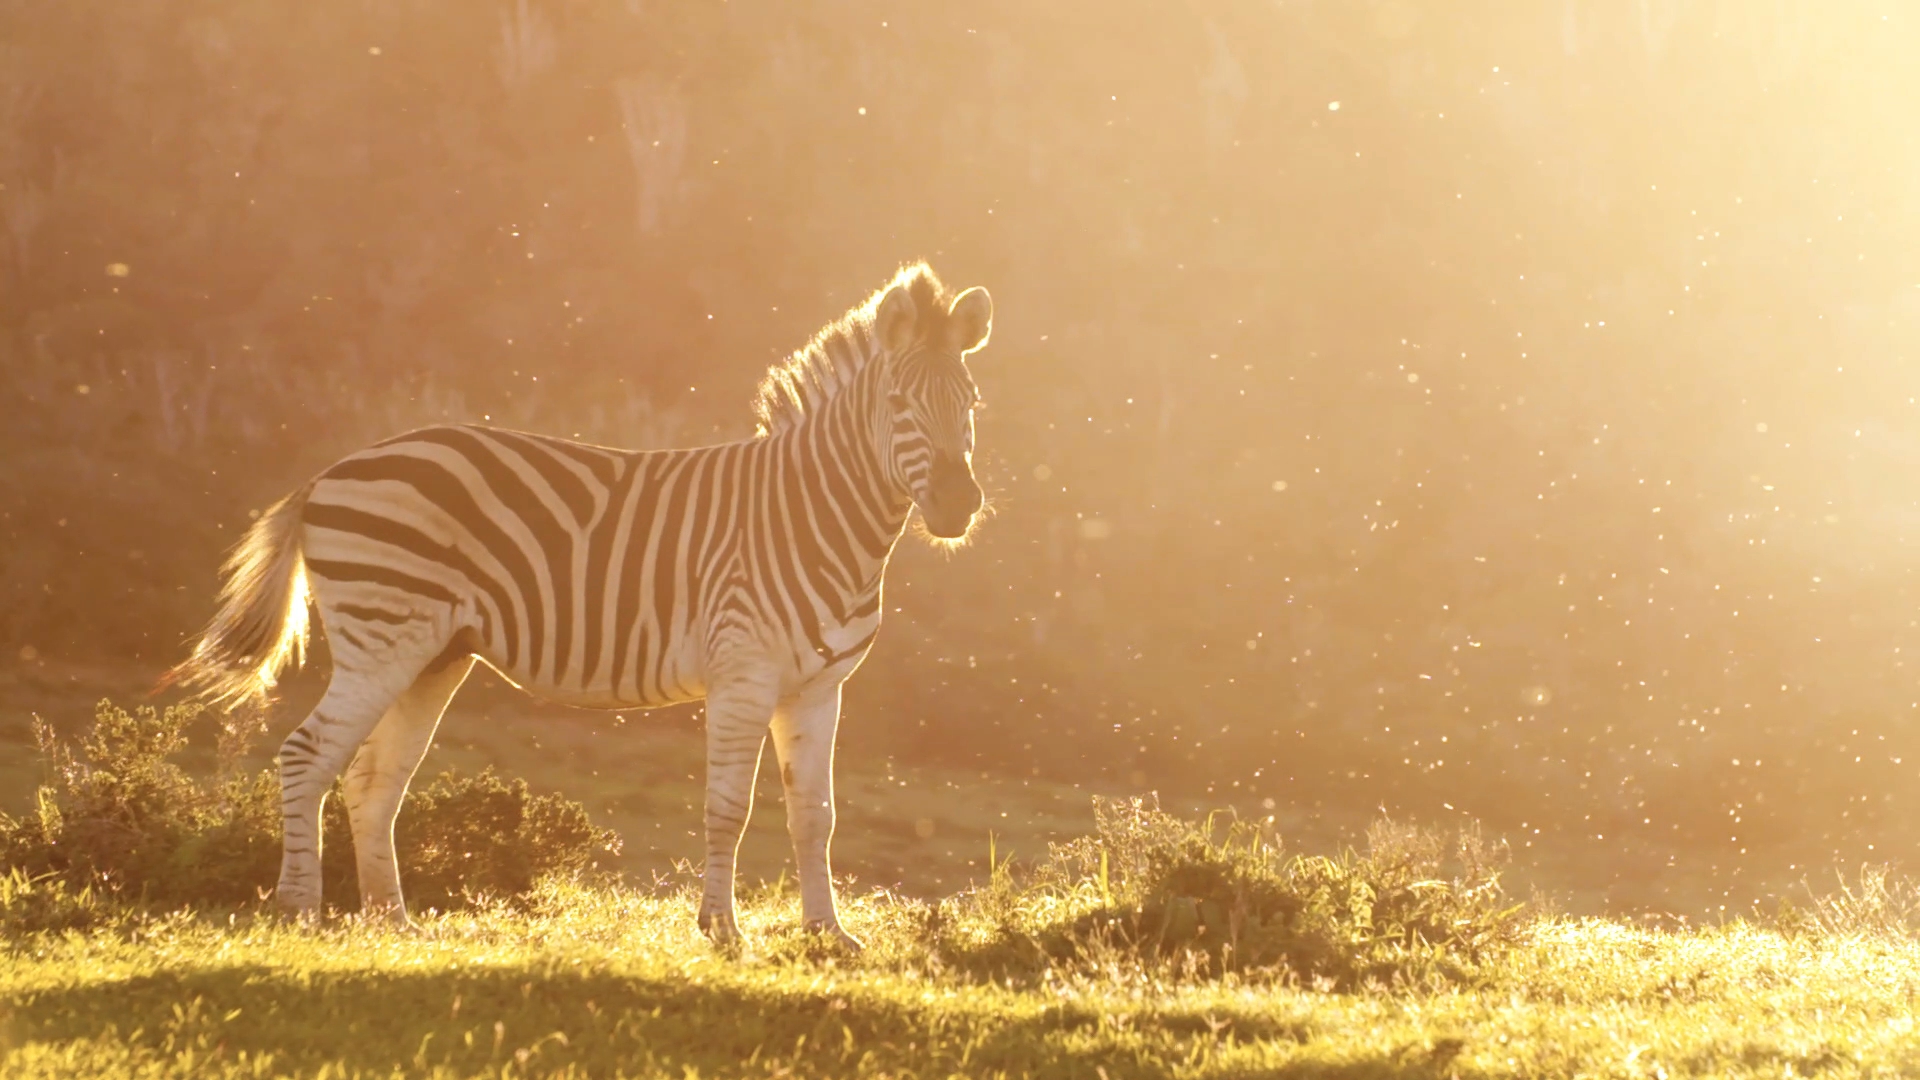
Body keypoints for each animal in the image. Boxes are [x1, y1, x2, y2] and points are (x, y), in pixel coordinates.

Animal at [167, 261, 998, 941]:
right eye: (899, 402)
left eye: (972, 401)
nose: (959, 505)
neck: (813, 516)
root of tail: (329, 473)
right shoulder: (743, 673)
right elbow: (729, 808)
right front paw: (723, 930)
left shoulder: (819, 687)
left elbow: (815, 816)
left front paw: (829, 935)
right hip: (383, 641)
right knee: (307, 755)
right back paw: (300, 911)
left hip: (432, 657)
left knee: (374, 779)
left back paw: (392, 924)